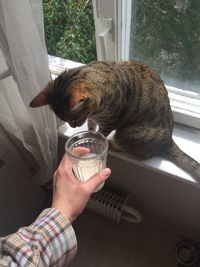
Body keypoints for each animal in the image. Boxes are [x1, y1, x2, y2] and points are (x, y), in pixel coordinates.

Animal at [29, 59, 200, 179]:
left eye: (74, 118)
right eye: (65, 119)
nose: (73, 126)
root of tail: (169, 140)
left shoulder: (110, 121)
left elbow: (101, 134)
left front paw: (97, 139)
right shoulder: (93, 118)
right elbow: (91, 127)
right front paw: (89, 133)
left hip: (128, 133)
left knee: (135, 151)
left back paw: (112, 144)